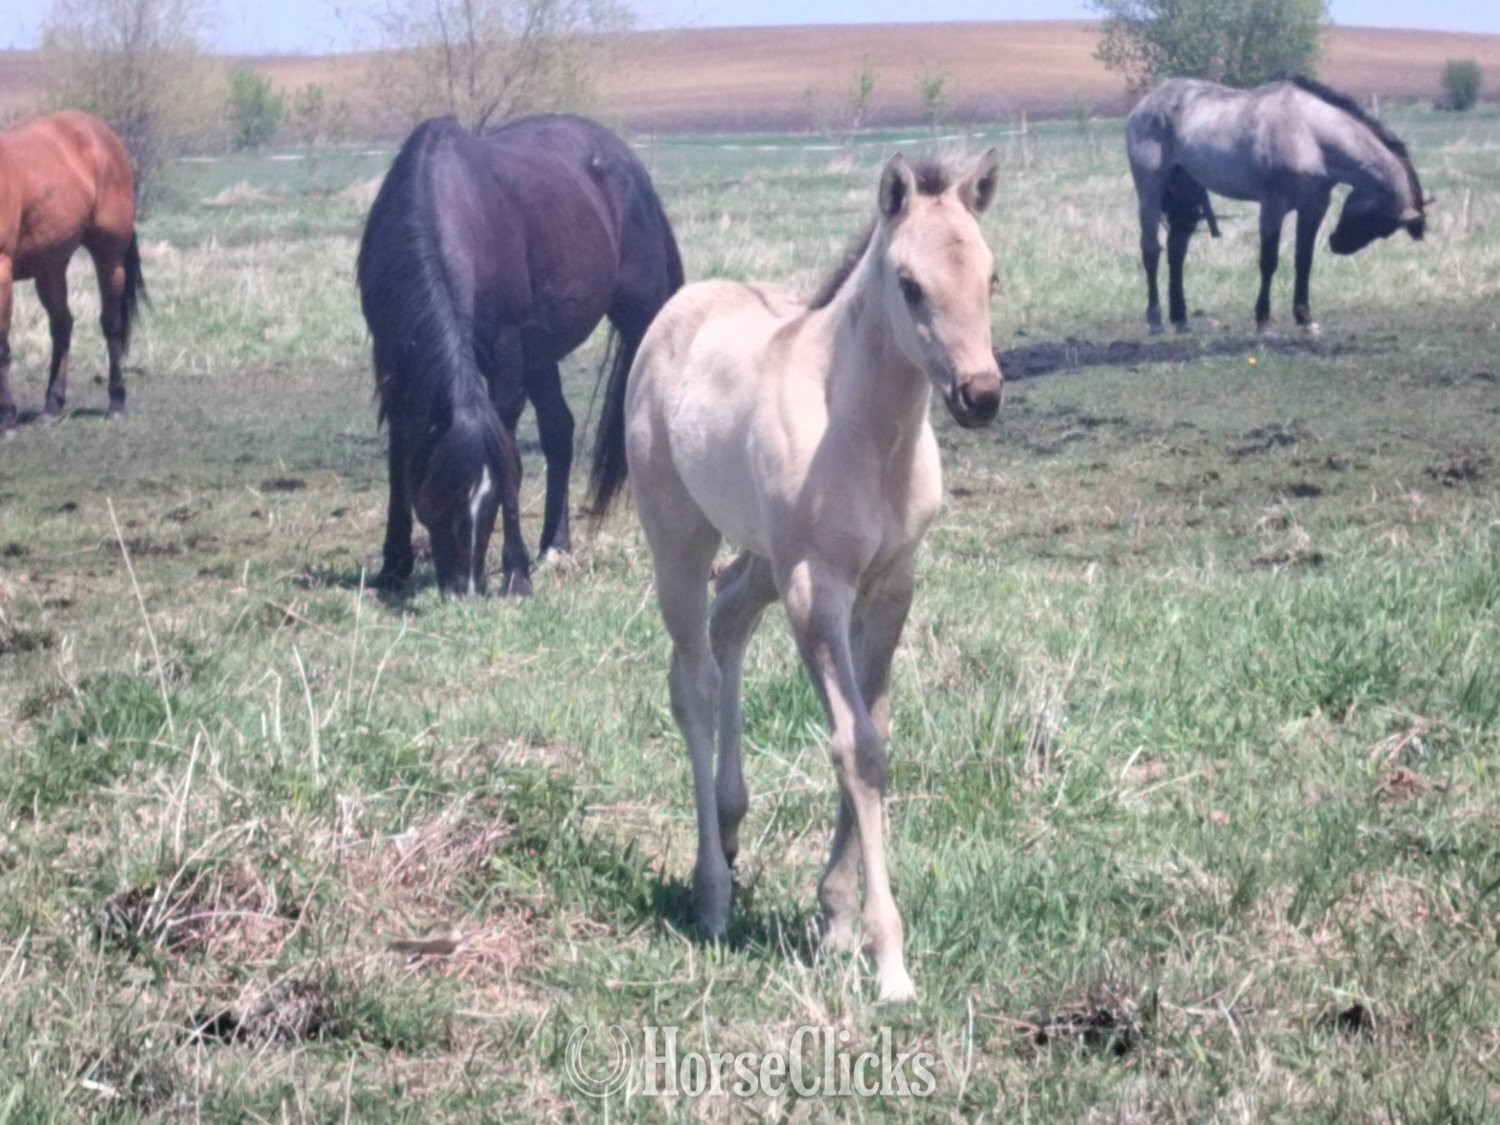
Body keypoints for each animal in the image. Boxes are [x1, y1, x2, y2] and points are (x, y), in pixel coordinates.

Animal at [0, 111, 145, 438]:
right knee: (62, 325)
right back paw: (52, 407)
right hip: (50, 265)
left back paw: (116, 403)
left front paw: (7, 422)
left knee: (111, 324)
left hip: (109, 256)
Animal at [357, 114, 682, 597]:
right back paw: (555, 546)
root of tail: (628, 162)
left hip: (640, 317)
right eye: (438, 493)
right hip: (541, 352)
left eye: (493, 496)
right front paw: (393, 566)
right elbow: (400, 450)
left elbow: (507, 438)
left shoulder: (506, 351)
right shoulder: (393, 357)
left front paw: (515, 572)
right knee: (559, 431)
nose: (466, 590)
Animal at [590, 150, 1003, 1001]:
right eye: (909, 283)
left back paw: (732, 824)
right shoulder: (818, 589)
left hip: (762, 557)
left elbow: (874, 733)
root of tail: (679, 307)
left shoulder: (891, 586)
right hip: (681, 540)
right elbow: (857, 747)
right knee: (694, 679)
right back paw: (712, 891)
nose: (981, 394)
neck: (868, 433)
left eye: (991, 275)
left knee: (728, 620)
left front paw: (837, 920)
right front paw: (889, 960)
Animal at [1126, 75, 1427, 334]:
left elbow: (1303, 260)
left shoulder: (1314, 207)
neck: (1309, 134)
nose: (1337, 244)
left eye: (1383, 230)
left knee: (1177, 251)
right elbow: (1268, 261)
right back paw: (1155, 319)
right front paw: (1263, 320)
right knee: (1151, 250)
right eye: (1376, 221)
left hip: (1186, 195)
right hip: (1150, 192)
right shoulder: (1273, 206)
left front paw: (1305, 318)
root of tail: (1145, 104)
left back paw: (1180, 319)